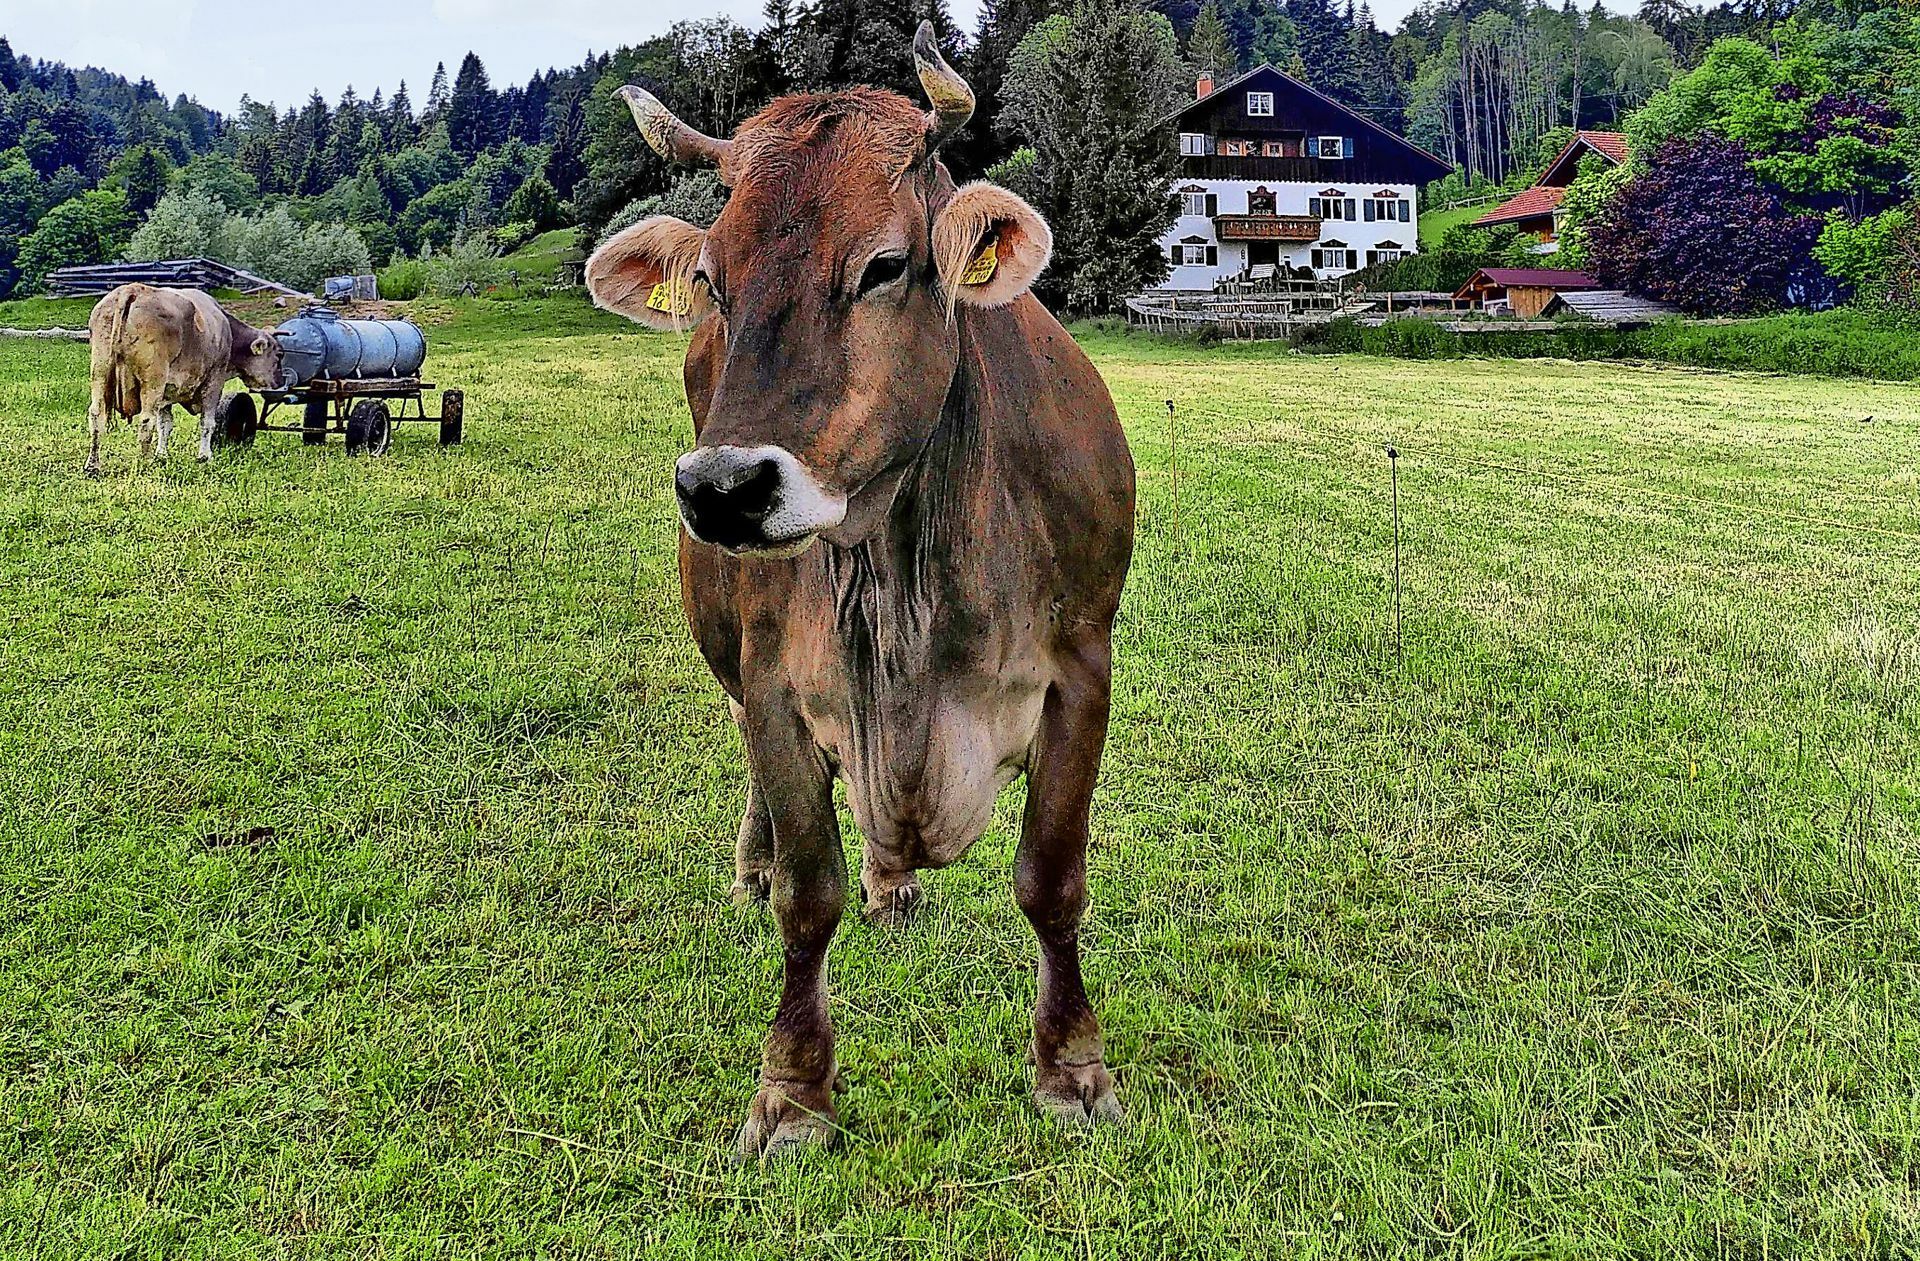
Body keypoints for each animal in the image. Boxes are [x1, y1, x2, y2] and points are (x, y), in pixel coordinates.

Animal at [84, 283, 284, 476]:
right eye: (279, 355)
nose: (279, 382)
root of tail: (132, 290)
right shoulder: (214, 381)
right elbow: (207, 422)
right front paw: (204, 456)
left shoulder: (166, 394)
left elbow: (165, 424)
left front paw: (162, 454)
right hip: (152, 381)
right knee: (147, 420)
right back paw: (145, 463)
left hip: (100, 372)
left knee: (96, 416)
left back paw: (93, 465)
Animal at [585, 24, 1135, 1160]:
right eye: (712, 277)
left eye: (884, 264)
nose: (725, 487)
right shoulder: (778, 690)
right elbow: (808, 895)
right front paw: (794, 1091)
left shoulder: (1083, 670)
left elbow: (1052, 878)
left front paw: (1072, 1067)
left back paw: (898, 880)